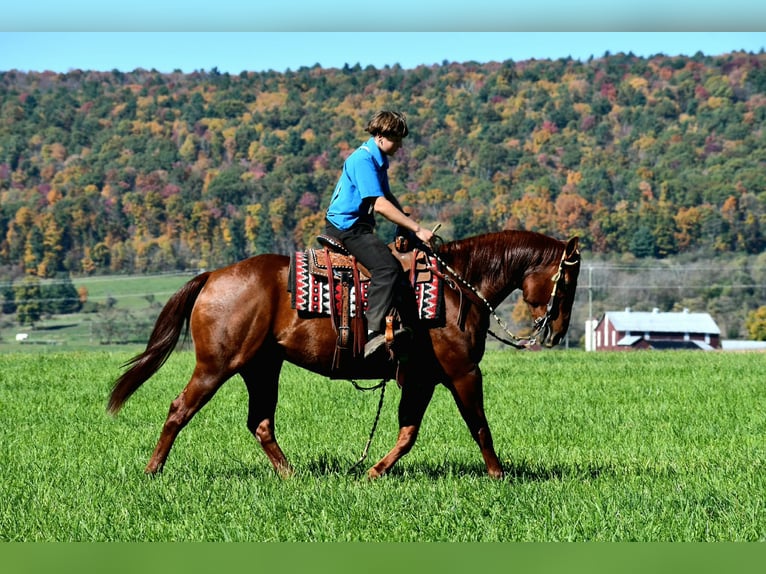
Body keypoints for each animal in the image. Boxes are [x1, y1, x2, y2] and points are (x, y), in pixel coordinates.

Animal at [107, 229, 581, 479]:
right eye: (568, 280)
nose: (557, 332)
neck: (455, 287)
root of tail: (213, 276)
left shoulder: (422, 378)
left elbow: (408, 433)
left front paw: (373, 472)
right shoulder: (463, 372)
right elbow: (480, 426)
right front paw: (499, 476)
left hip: (262, 367)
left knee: (260, 422)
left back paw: (292, 475)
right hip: (216, 366)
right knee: (179, 409)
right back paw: (152, 471)